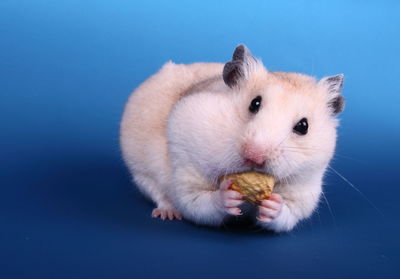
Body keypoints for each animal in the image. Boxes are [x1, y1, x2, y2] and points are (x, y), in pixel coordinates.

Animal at [120, 45, 346, 234]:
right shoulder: (186, 171)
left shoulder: (305, 190)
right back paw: (167, 213)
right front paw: (228, 196)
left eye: (303, 126)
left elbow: (287, 214)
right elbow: (198, 203)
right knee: (158, 192)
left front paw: (273, 205)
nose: (255, 156)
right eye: (254, 103)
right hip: (141, 170)